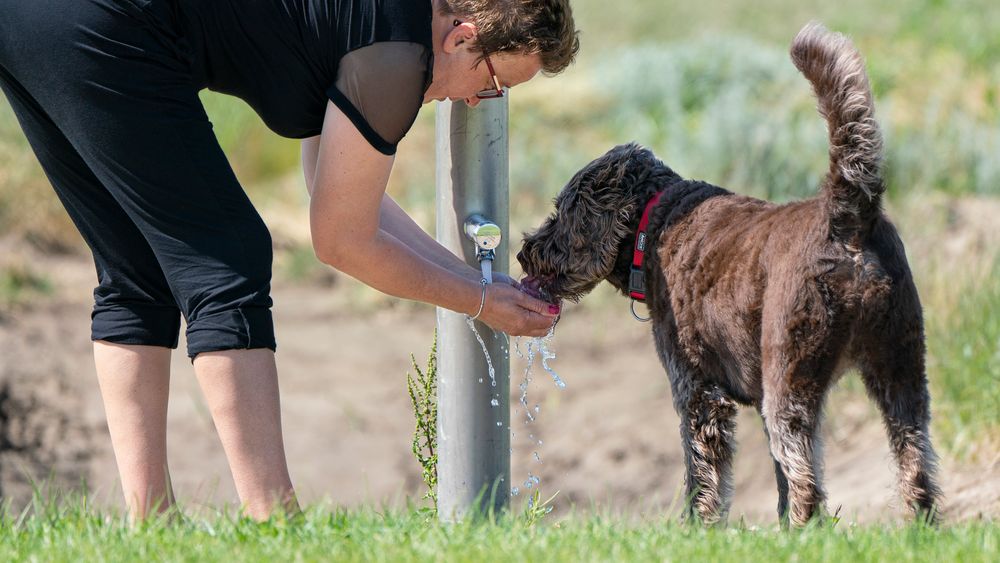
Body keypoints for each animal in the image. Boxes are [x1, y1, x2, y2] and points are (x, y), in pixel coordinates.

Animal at [520, 22, 940, 524]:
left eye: (562, 212)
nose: (524, 253)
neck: (654, 222)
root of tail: (850, 216)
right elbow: (775, 482)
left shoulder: (699, 391)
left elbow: (703, 477)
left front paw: (697, 528)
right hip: (901, 371)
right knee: (915, 461)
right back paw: (918, 527)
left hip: (791, 382)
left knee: (806, 477)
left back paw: (807, 531)